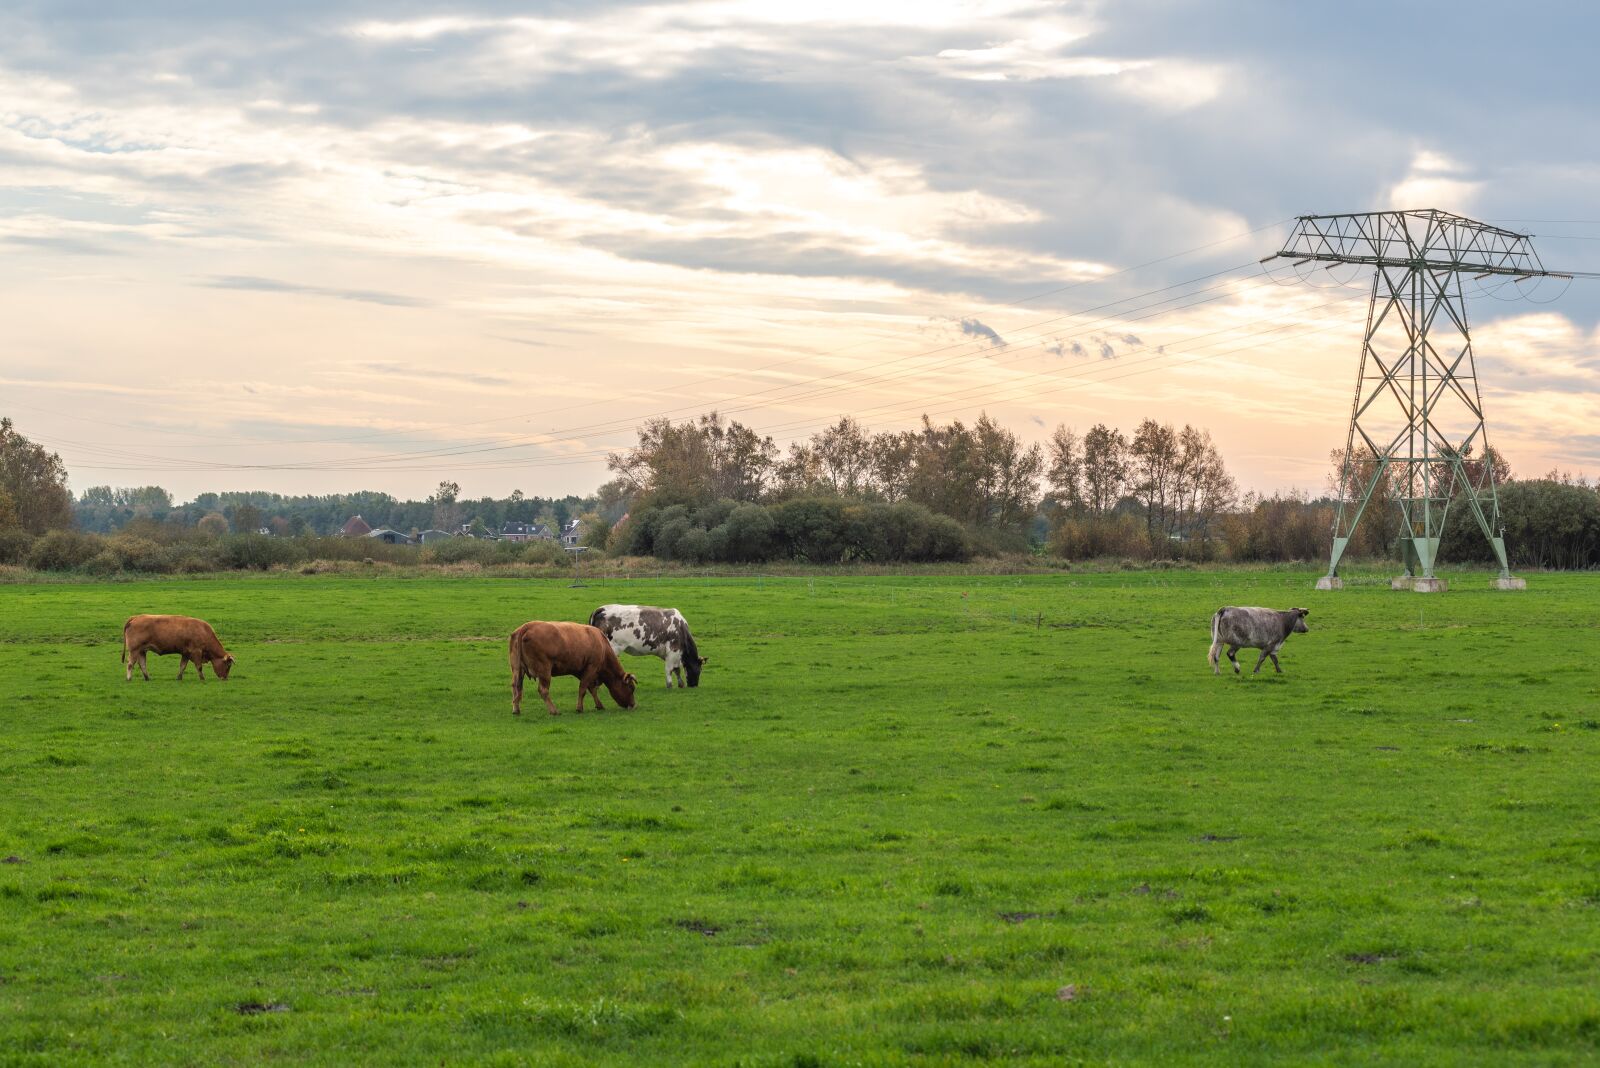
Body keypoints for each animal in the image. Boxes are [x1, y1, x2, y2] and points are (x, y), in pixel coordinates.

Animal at [509, 620, 638, 716]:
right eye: (631, 688)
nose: (633, 705)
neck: (602, 644)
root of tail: (527, 626)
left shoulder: (582, 670)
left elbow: (591, 689)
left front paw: (599, 705)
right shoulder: (591, 667)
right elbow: (583, 689)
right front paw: (579, 708)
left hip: (517, 669)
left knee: (516, 687)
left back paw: (516, 709)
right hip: (544, 670)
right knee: (543, 690)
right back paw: (554, 711)